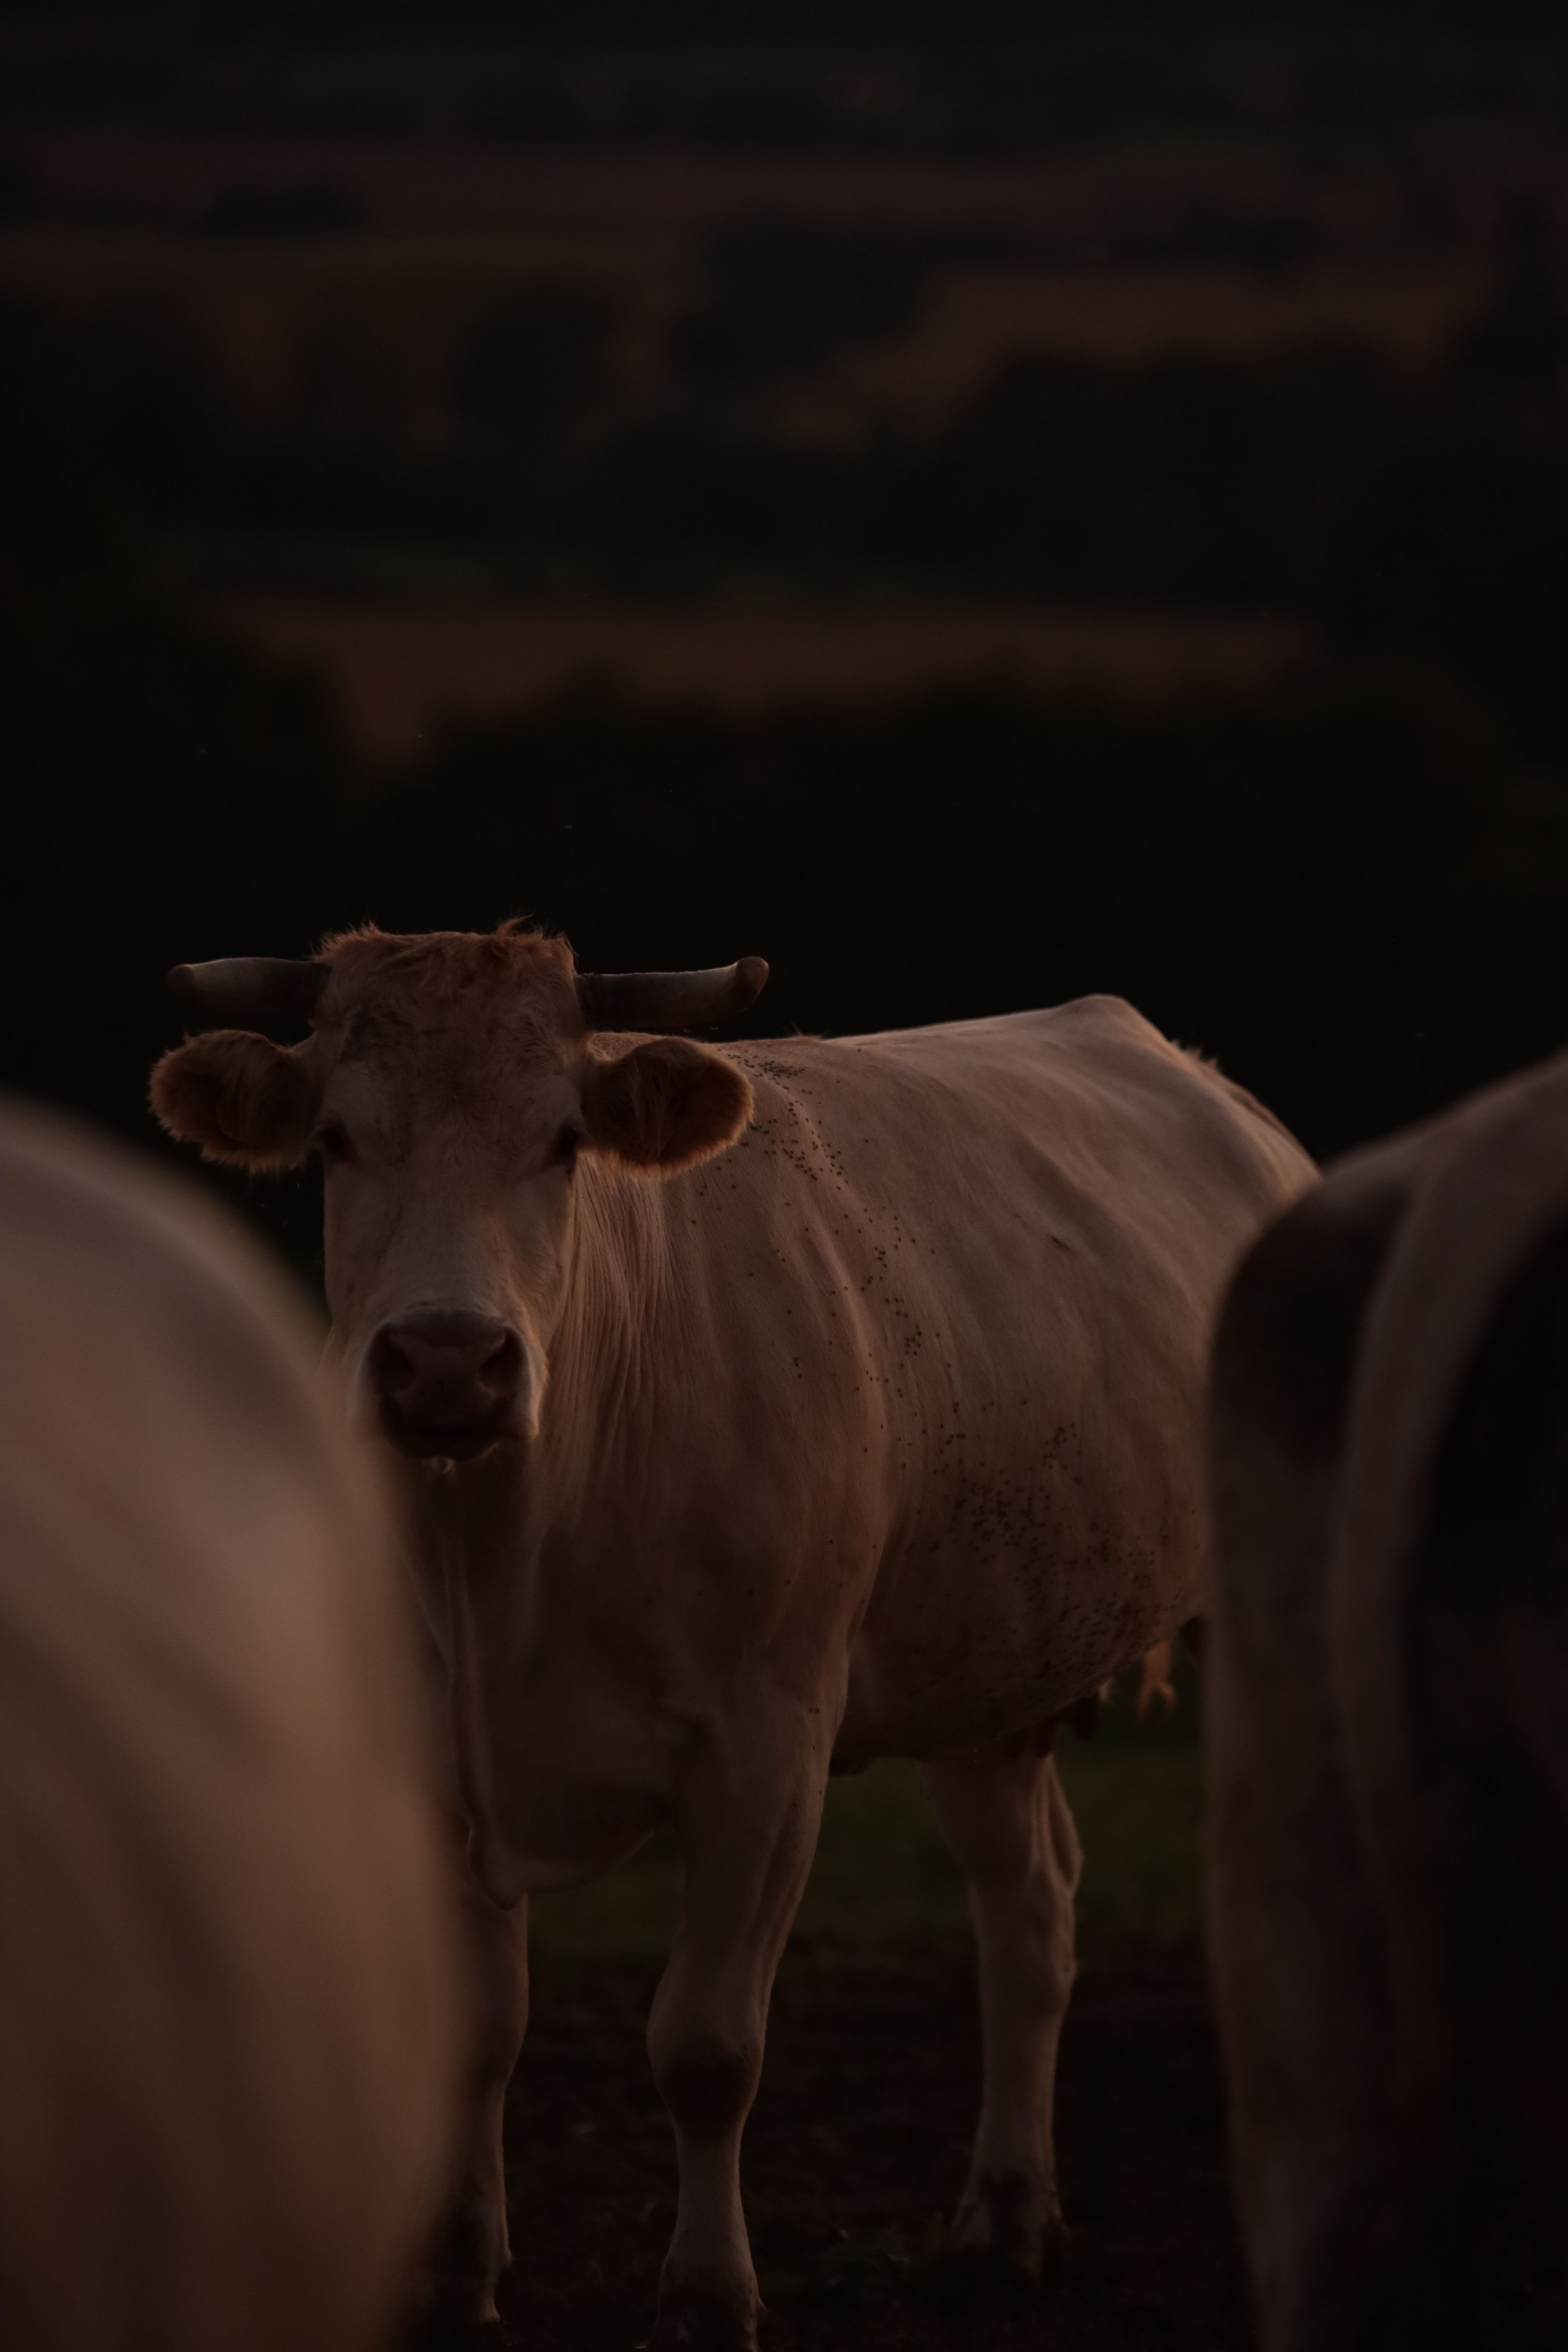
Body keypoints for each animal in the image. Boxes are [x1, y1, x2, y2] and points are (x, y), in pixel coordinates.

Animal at [150, 922, 1314, 2347]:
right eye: (334, 1140)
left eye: (565, 1139)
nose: (447, 1362)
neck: (507, 1558)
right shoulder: (428, 1761)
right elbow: (476, 2035)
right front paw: (453, 2280)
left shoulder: (766, 1751)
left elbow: (706, 2048)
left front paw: (708, 2294)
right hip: (987, 1664)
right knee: (1029, 1909)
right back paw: (1004, 2224)